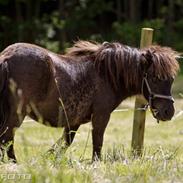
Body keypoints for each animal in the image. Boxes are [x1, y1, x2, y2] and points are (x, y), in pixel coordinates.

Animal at [0, 41, 179, 162]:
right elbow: (97, 142)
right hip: (17, 114)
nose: (168, 112)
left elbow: (64, 144)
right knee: (7, 138)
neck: (107, 75)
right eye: (155, 78)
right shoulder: (101, 116)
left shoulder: (74, 121)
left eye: (171, 80)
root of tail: (6, 57)